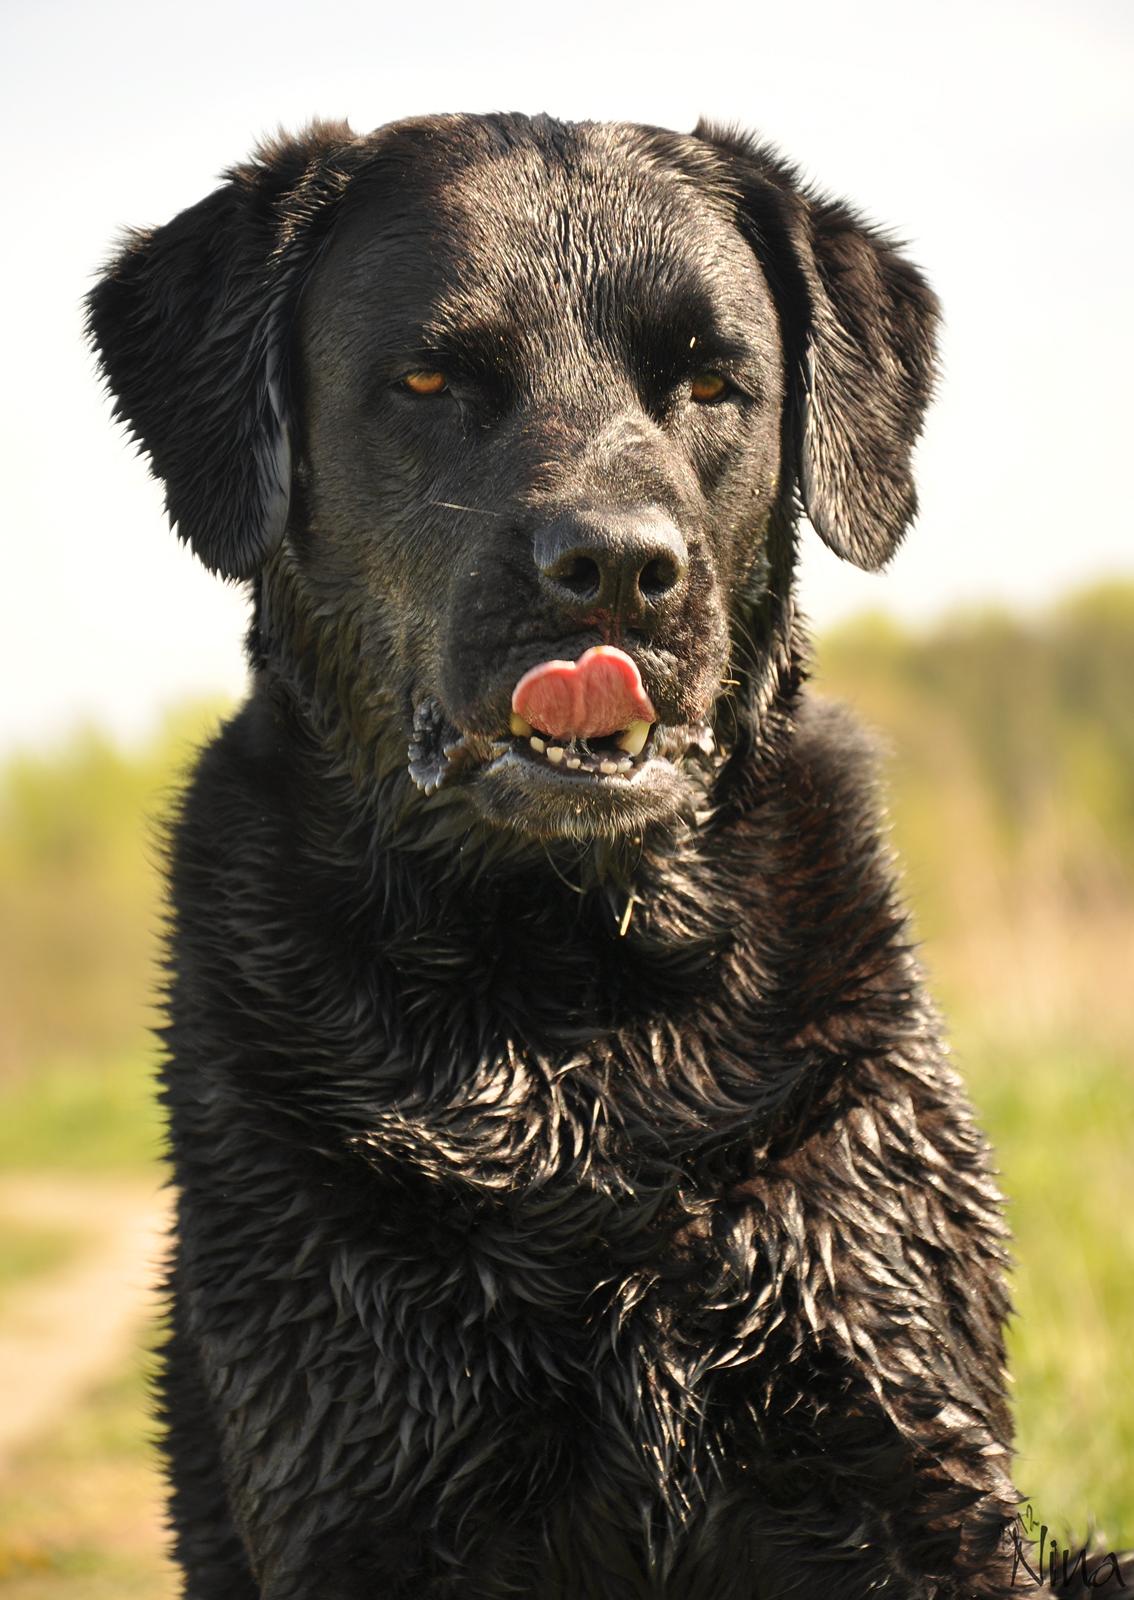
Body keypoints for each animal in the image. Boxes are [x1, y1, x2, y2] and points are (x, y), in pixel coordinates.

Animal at [88, 116, 1042, 1600]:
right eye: (428, 378)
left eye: (713, 383)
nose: (615, 569)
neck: (579, 1005)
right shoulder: (366, 1482)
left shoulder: (904, 1446)